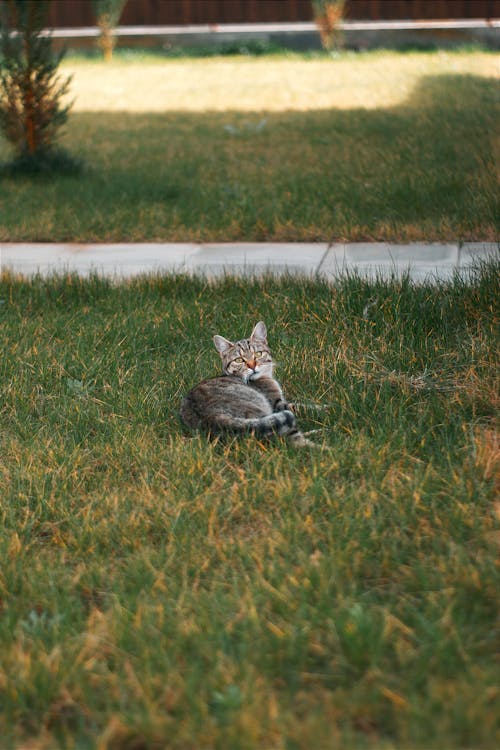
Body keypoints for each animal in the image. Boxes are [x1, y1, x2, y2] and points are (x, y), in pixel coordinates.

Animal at [180, 322, 312, 446]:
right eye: (239, 360)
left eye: (258, 354)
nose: (252, 366)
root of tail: (211, 416)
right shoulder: (278, 404)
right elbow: (306, 408)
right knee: (291, 438)